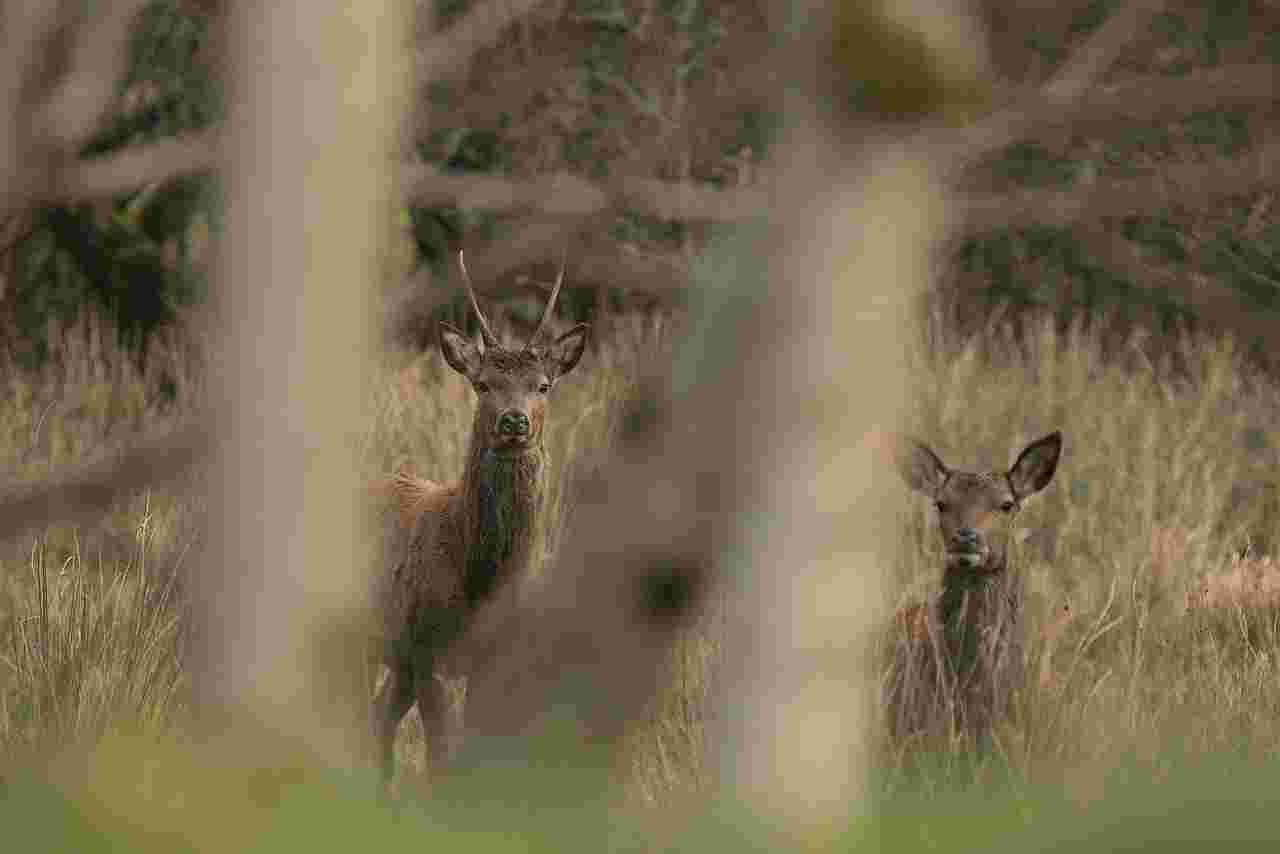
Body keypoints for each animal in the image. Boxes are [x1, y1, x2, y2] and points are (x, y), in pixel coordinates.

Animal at [371, 250, 588, 783]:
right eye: (483, 383)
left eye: (543, 386)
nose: (514, 420)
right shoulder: (430, 649)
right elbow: (443, 758)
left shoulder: (493, 658)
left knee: (376, 720)